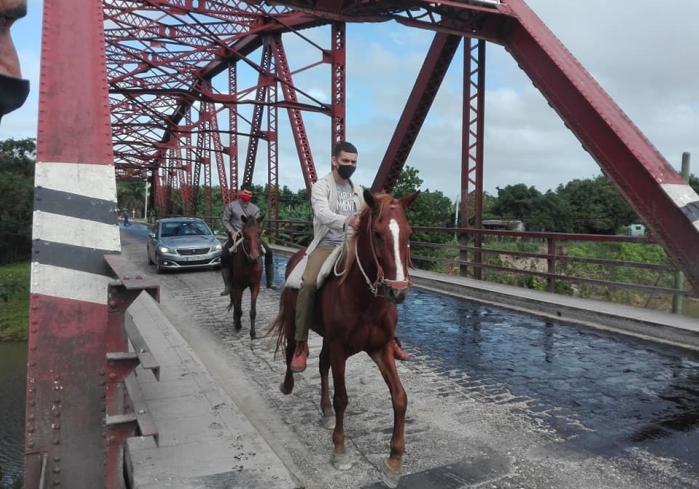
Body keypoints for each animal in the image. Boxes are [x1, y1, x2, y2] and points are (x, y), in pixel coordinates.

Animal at [270, 189, 418, 486]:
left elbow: (399, 397)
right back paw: (289, 383)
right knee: (292, 349)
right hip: (294, 322)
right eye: (377, 234)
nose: (398, 291)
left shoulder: (380, 349)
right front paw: (340, 450)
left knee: (322, 365)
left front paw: (394, 461)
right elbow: (342, 398)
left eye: (408, 232)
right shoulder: (340, 348)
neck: (365, 300)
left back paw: (325, 411)